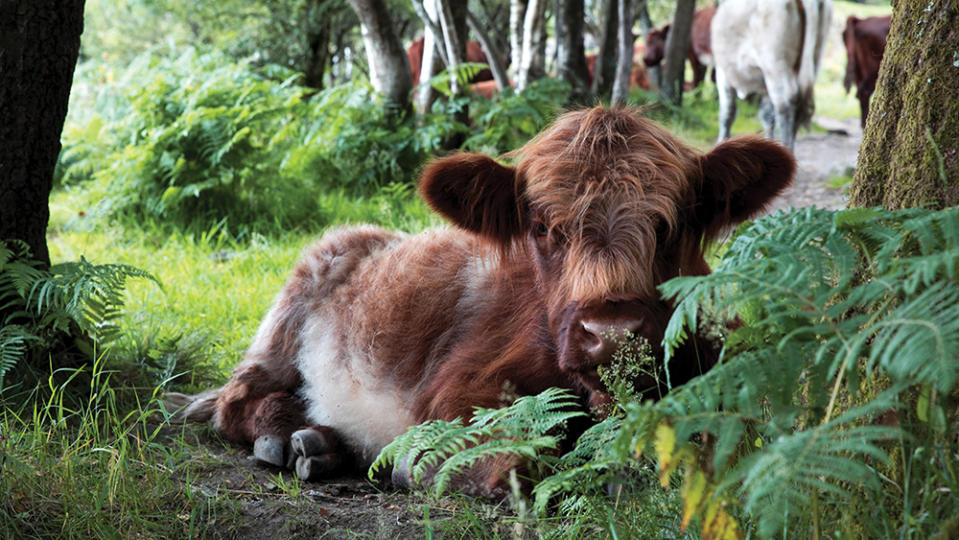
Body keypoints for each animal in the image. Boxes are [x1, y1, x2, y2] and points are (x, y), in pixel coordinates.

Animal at [171, 106, 796, 498]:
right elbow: (521, 459)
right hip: (288, 317)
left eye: (670, 226)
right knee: (235, 399)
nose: (612, 332)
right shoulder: (456, 392)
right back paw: (286, 437)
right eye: (543, 227)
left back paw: (321, 446)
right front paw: (415, 465)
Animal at [708, 0, 836, 150]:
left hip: (774, 64)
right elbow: (767, 116)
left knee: (785, 104)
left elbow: (727, 113)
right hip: (814, 59)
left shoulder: (723, 73)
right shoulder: (763, 87)